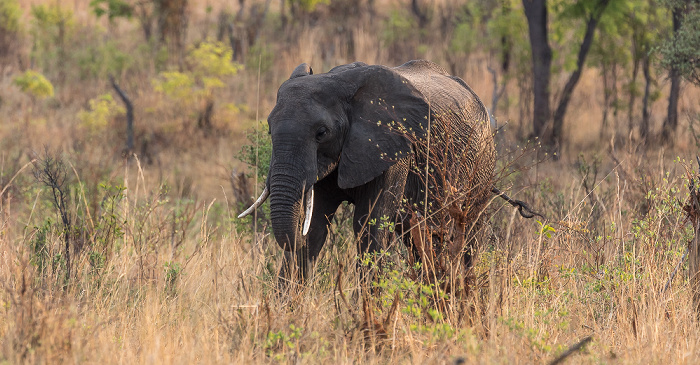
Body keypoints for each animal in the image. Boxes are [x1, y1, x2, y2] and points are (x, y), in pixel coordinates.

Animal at [241, 59, 498, 282]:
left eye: (322, 133)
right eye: (269, 129)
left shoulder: (392, 150)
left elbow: (369, 225)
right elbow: (315, 226)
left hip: (482, 164)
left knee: (468, 235)